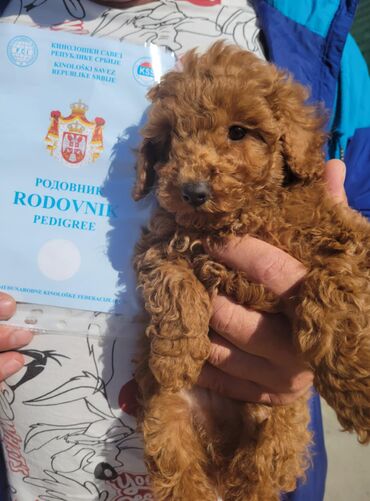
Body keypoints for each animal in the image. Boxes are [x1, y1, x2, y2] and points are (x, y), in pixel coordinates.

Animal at [132, 44, 370, 500]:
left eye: (238, 132)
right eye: (169, 140)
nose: (192, 191)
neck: (242, 216)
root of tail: (219, 446)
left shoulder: (350, 236)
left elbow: (333, 282)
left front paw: (357, 389)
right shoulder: (159, 243)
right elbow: (172, 282)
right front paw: (175, 356)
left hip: (281, 426)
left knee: (258, 474)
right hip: (165, 417)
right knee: (180, 474)